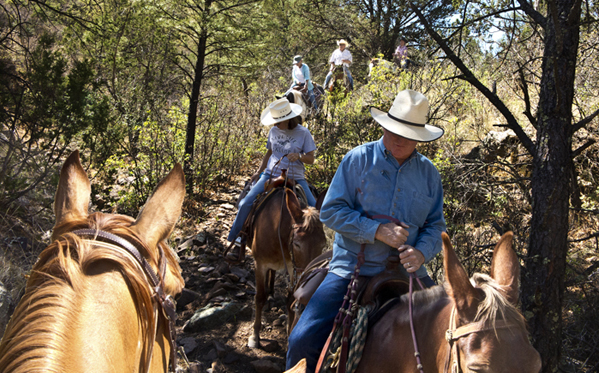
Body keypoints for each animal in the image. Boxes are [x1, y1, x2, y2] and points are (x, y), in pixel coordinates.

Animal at [251, 187, 330, 348]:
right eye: (297, 244)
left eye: (323, 244)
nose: (308, 274)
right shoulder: (260, 264)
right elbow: (259, 298)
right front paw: (255, 336)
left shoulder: (293, 269)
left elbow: (290, 301)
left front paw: (289, 333)